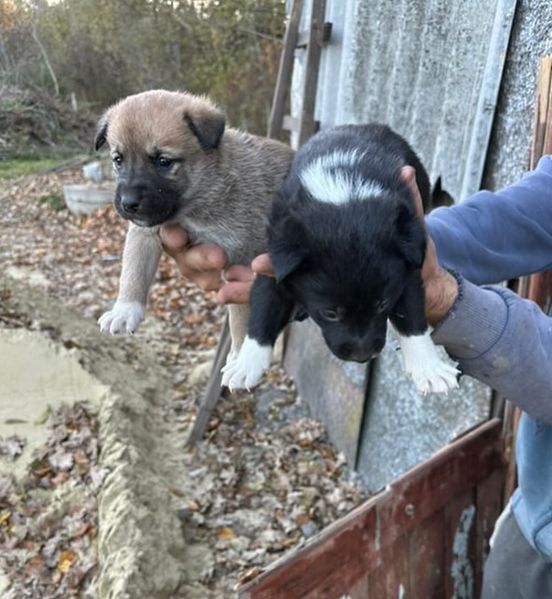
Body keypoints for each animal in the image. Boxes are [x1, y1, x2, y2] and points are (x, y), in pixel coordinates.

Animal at [96, 89, 294, 370]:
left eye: (163, 161)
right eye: (118, 160)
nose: (128, 204)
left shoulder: (243, 263)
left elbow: (242, 315)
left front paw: (241, 356)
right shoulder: (143, 232)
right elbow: (133, 271)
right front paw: (124, 309)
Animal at [222, 123, 460, 394]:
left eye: (382, 305)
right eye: (330, 313)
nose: (362, 356)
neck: (345, 192)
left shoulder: (410, 264)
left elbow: (411, 315)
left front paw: (429, 368)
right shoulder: (272, 260)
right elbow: (264, 309)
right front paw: (246, 364)